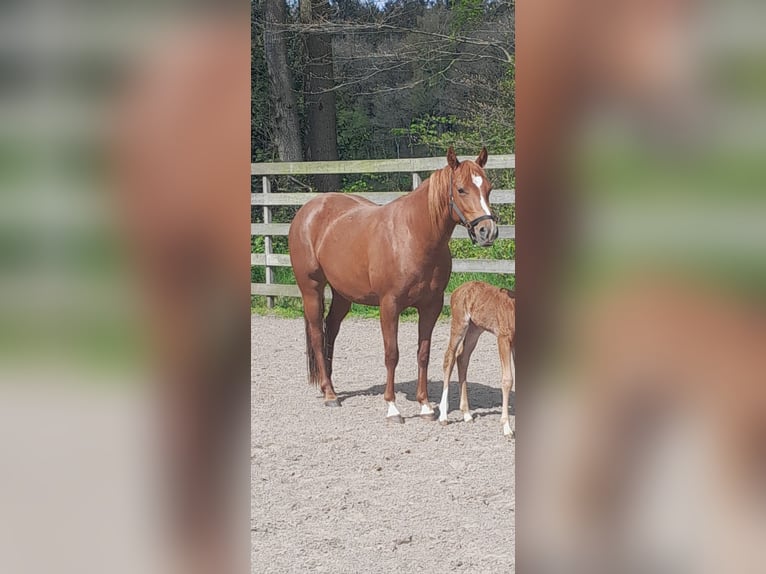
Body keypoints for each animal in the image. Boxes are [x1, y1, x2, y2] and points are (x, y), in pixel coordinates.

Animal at [288, 147, 498, 424]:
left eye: (488, 188)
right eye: (461, 189)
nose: (488, 231)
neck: (414, 235)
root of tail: (308, 210)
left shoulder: (431, 306)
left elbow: (423, 353)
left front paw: (425, 405)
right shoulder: (389, 306)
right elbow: (392, 354)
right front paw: (392, 408)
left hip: (342, 295)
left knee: (330, 331)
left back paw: (328, 386)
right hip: (311, 289)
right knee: (316, 333)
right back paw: (330, 395)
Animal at [440, 282, 520, 436]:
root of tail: (458, 290)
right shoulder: (503, 338)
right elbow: (508, 380)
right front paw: (507, 427)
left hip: (475, 329)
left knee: (462, 358)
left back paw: (467, 414)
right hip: (460, 324)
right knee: (449, 357)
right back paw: (443, 416)